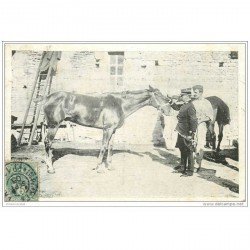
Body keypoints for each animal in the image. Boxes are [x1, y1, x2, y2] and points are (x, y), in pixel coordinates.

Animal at [42, 86, 171, 174]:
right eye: (159, 95)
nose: (169, 111)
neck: (120, 104)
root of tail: (48, 97)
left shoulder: (113, 130)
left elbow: (110, 147)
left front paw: (109, 166)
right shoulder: (107, 129)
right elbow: (103, 146)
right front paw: (98, 167)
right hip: (54, 125)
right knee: (48, 143)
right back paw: (50, 168)